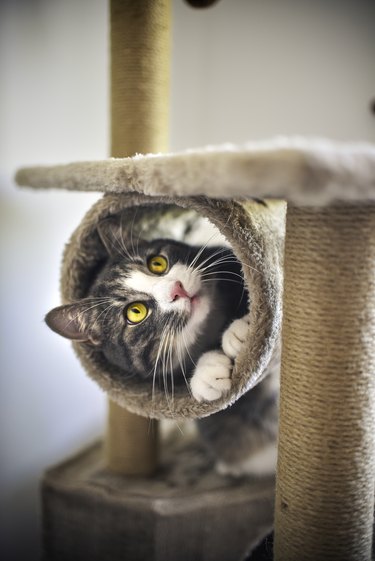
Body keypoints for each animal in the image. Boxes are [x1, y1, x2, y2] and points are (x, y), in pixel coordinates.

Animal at [45, 217, 280, 474]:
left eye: (156, 263)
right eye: (135, 312)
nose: (177, 289)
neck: (207, 328)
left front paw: (239, 331)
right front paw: (207, 374)